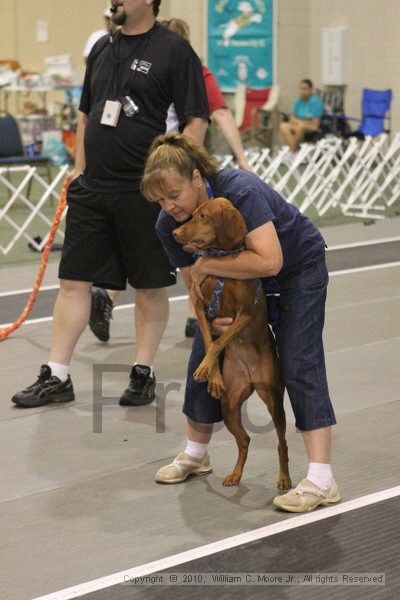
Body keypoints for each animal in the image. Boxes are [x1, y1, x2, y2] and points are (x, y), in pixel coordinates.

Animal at [173, 199, 290, 490]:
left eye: (203, 216)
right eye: (192, 214)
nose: (175, 234)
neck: (221, 260)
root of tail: (250, 377)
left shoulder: (245, 314)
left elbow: (219, 343)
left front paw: (205, 370)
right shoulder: (202, 308)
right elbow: (210, 342)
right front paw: (212, 374)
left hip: (273, 397)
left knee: (282, 442)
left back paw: (284, 478)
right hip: (228, 407)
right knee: (245, 440)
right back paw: (236, 474)